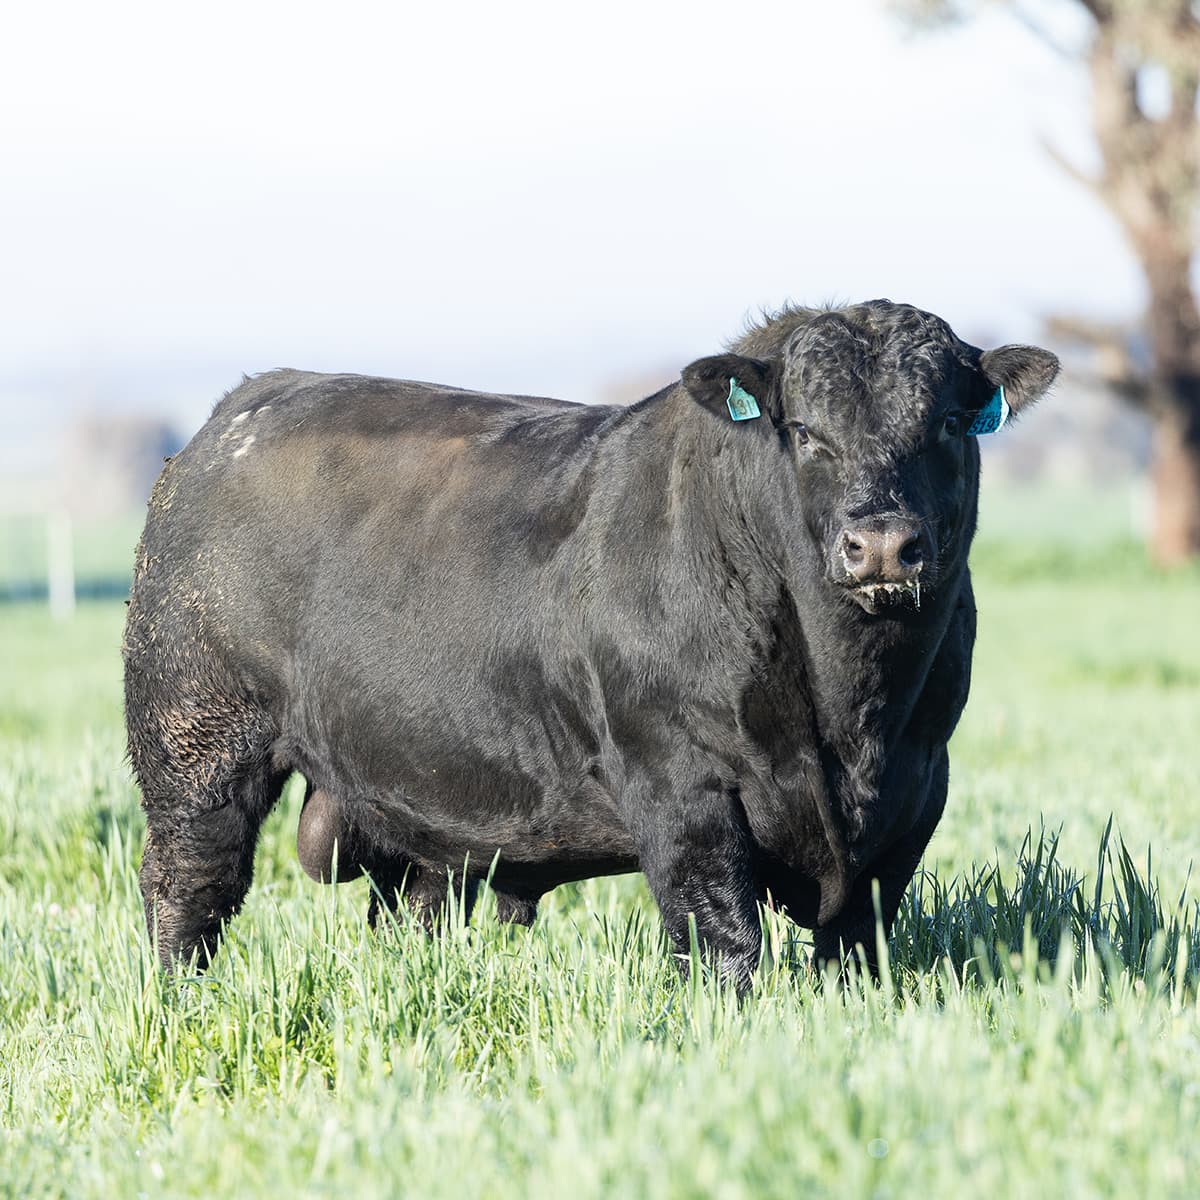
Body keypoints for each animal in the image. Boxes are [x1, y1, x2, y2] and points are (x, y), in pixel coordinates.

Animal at [123, 300, 1058, 989]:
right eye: (803, 430)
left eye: (950, 423)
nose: (883, 544)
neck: (850, 713)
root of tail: (241, 408)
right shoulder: (684, 788)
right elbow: (724, 942)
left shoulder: (916, 791)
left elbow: (858, 946)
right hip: (195, 742)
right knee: (190, 886)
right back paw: (182, 1000)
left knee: (414, 903)